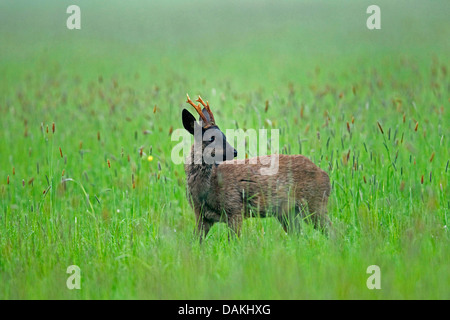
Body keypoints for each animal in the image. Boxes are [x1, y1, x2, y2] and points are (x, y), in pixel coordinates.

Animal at [181, 94, 332, 239]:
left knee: (333, 231)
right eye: (211, 138)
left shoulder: (234, 207)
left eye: (224, 135)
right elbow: (196, 241)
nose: (234, 151)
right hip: (289, 212)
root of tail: (326, 176)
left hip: (314, 202)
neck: (207, 188)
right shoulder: (201, 215)